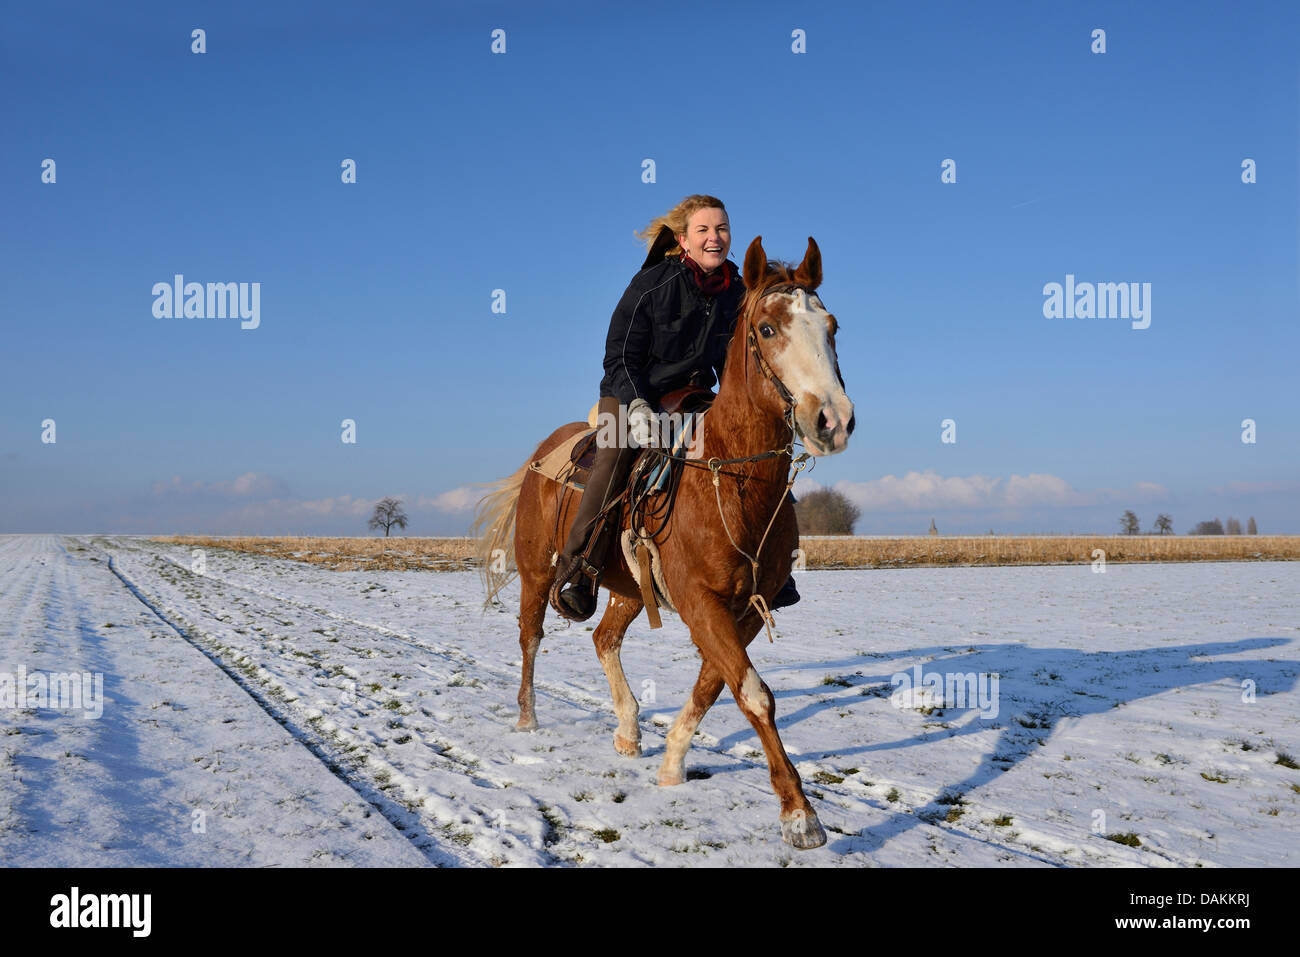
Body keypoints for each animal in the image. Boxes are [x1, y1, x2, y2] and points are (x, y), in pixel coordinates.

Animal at [472, 235, 854, 848]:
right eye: (767, 328)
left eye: (832, 326)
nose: (832, 420)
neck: (727, 478)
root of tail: (544, 453)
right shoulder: (701, 602)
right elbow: (755, 694)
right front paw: (800, 813)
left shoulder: (742, 610)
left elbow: (716, 685)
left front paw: (672, 765)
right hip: (537, 571)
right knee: (531, 636)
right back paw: (528, 718)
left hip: (629, 589)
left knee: (604, 639)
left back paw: (628, 731)